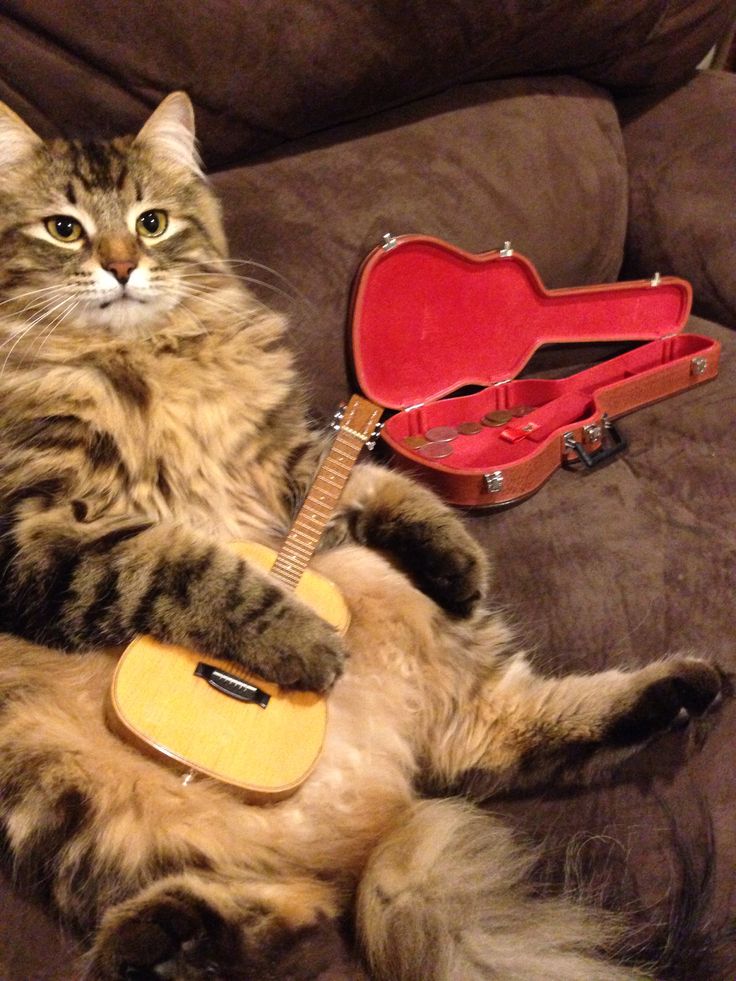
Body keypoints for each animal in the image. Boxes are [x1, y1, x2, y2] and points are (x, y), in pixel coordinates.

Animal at [0, 92, 724, 980]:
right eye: (65, 229)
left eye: (152, 222)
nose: (122, 266)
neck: (144, 352)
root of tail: (381, 806)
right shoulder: (37, 532)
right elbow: (185, 567)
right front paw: (304, 642)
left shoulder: (289, 459)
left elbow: (385, 485)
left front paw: (457, 557)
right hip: (54, 786)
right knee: (287, 906)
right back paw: (150, 943)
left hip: (383, 598)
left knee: (488, 741)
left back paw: (683, 690)